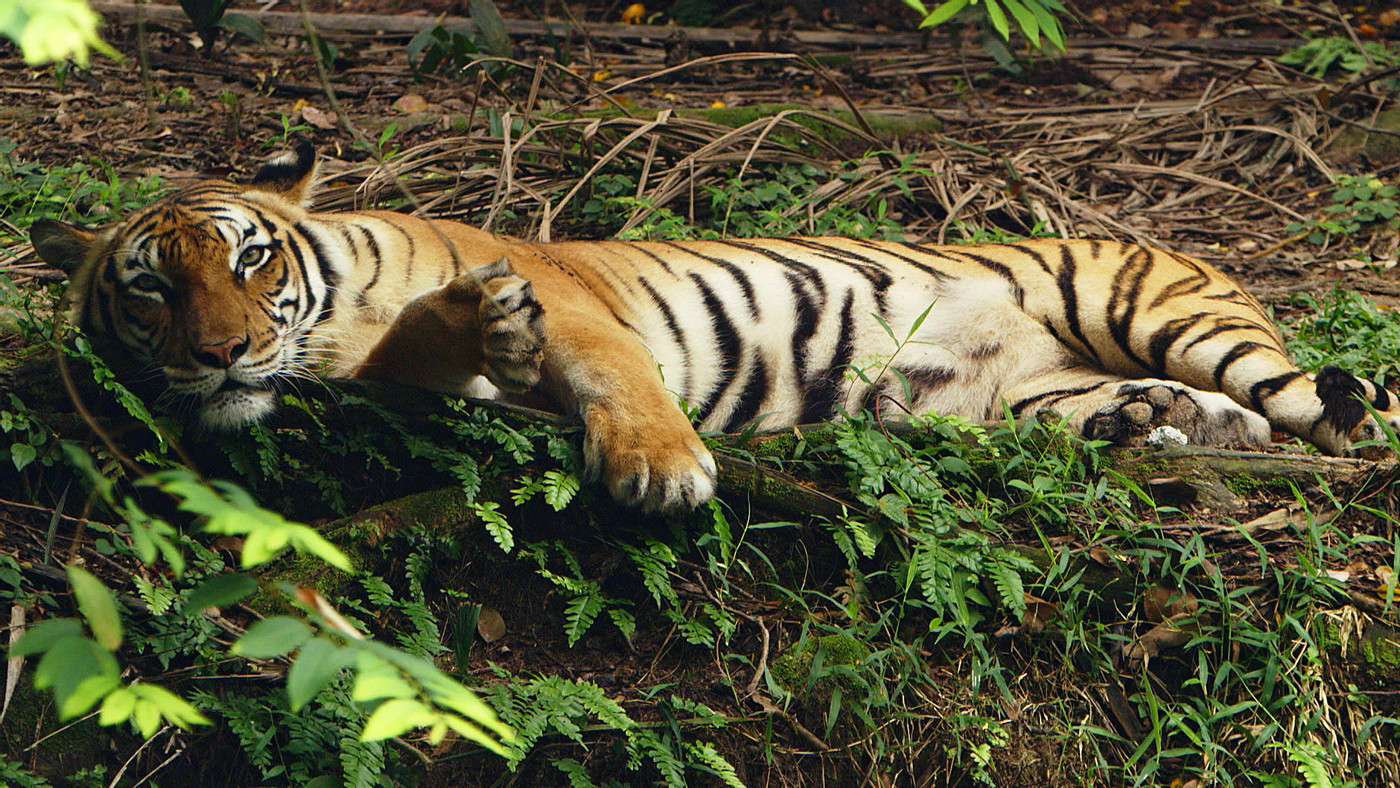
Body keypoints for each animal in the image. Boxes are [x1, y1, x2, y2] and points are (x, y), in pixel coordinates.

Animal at [29, 143, 1400, 513]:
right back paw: (1168, 423)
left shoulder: (579, 304)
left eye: (250, 261)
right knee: (1185, 415)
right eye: (151, 289)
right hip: (1028, 398)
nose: (221, 355)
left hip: (1156, 305)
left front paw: (658, 465)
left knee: (1322, 405)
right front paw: (480, 343)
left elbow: (609, 372)